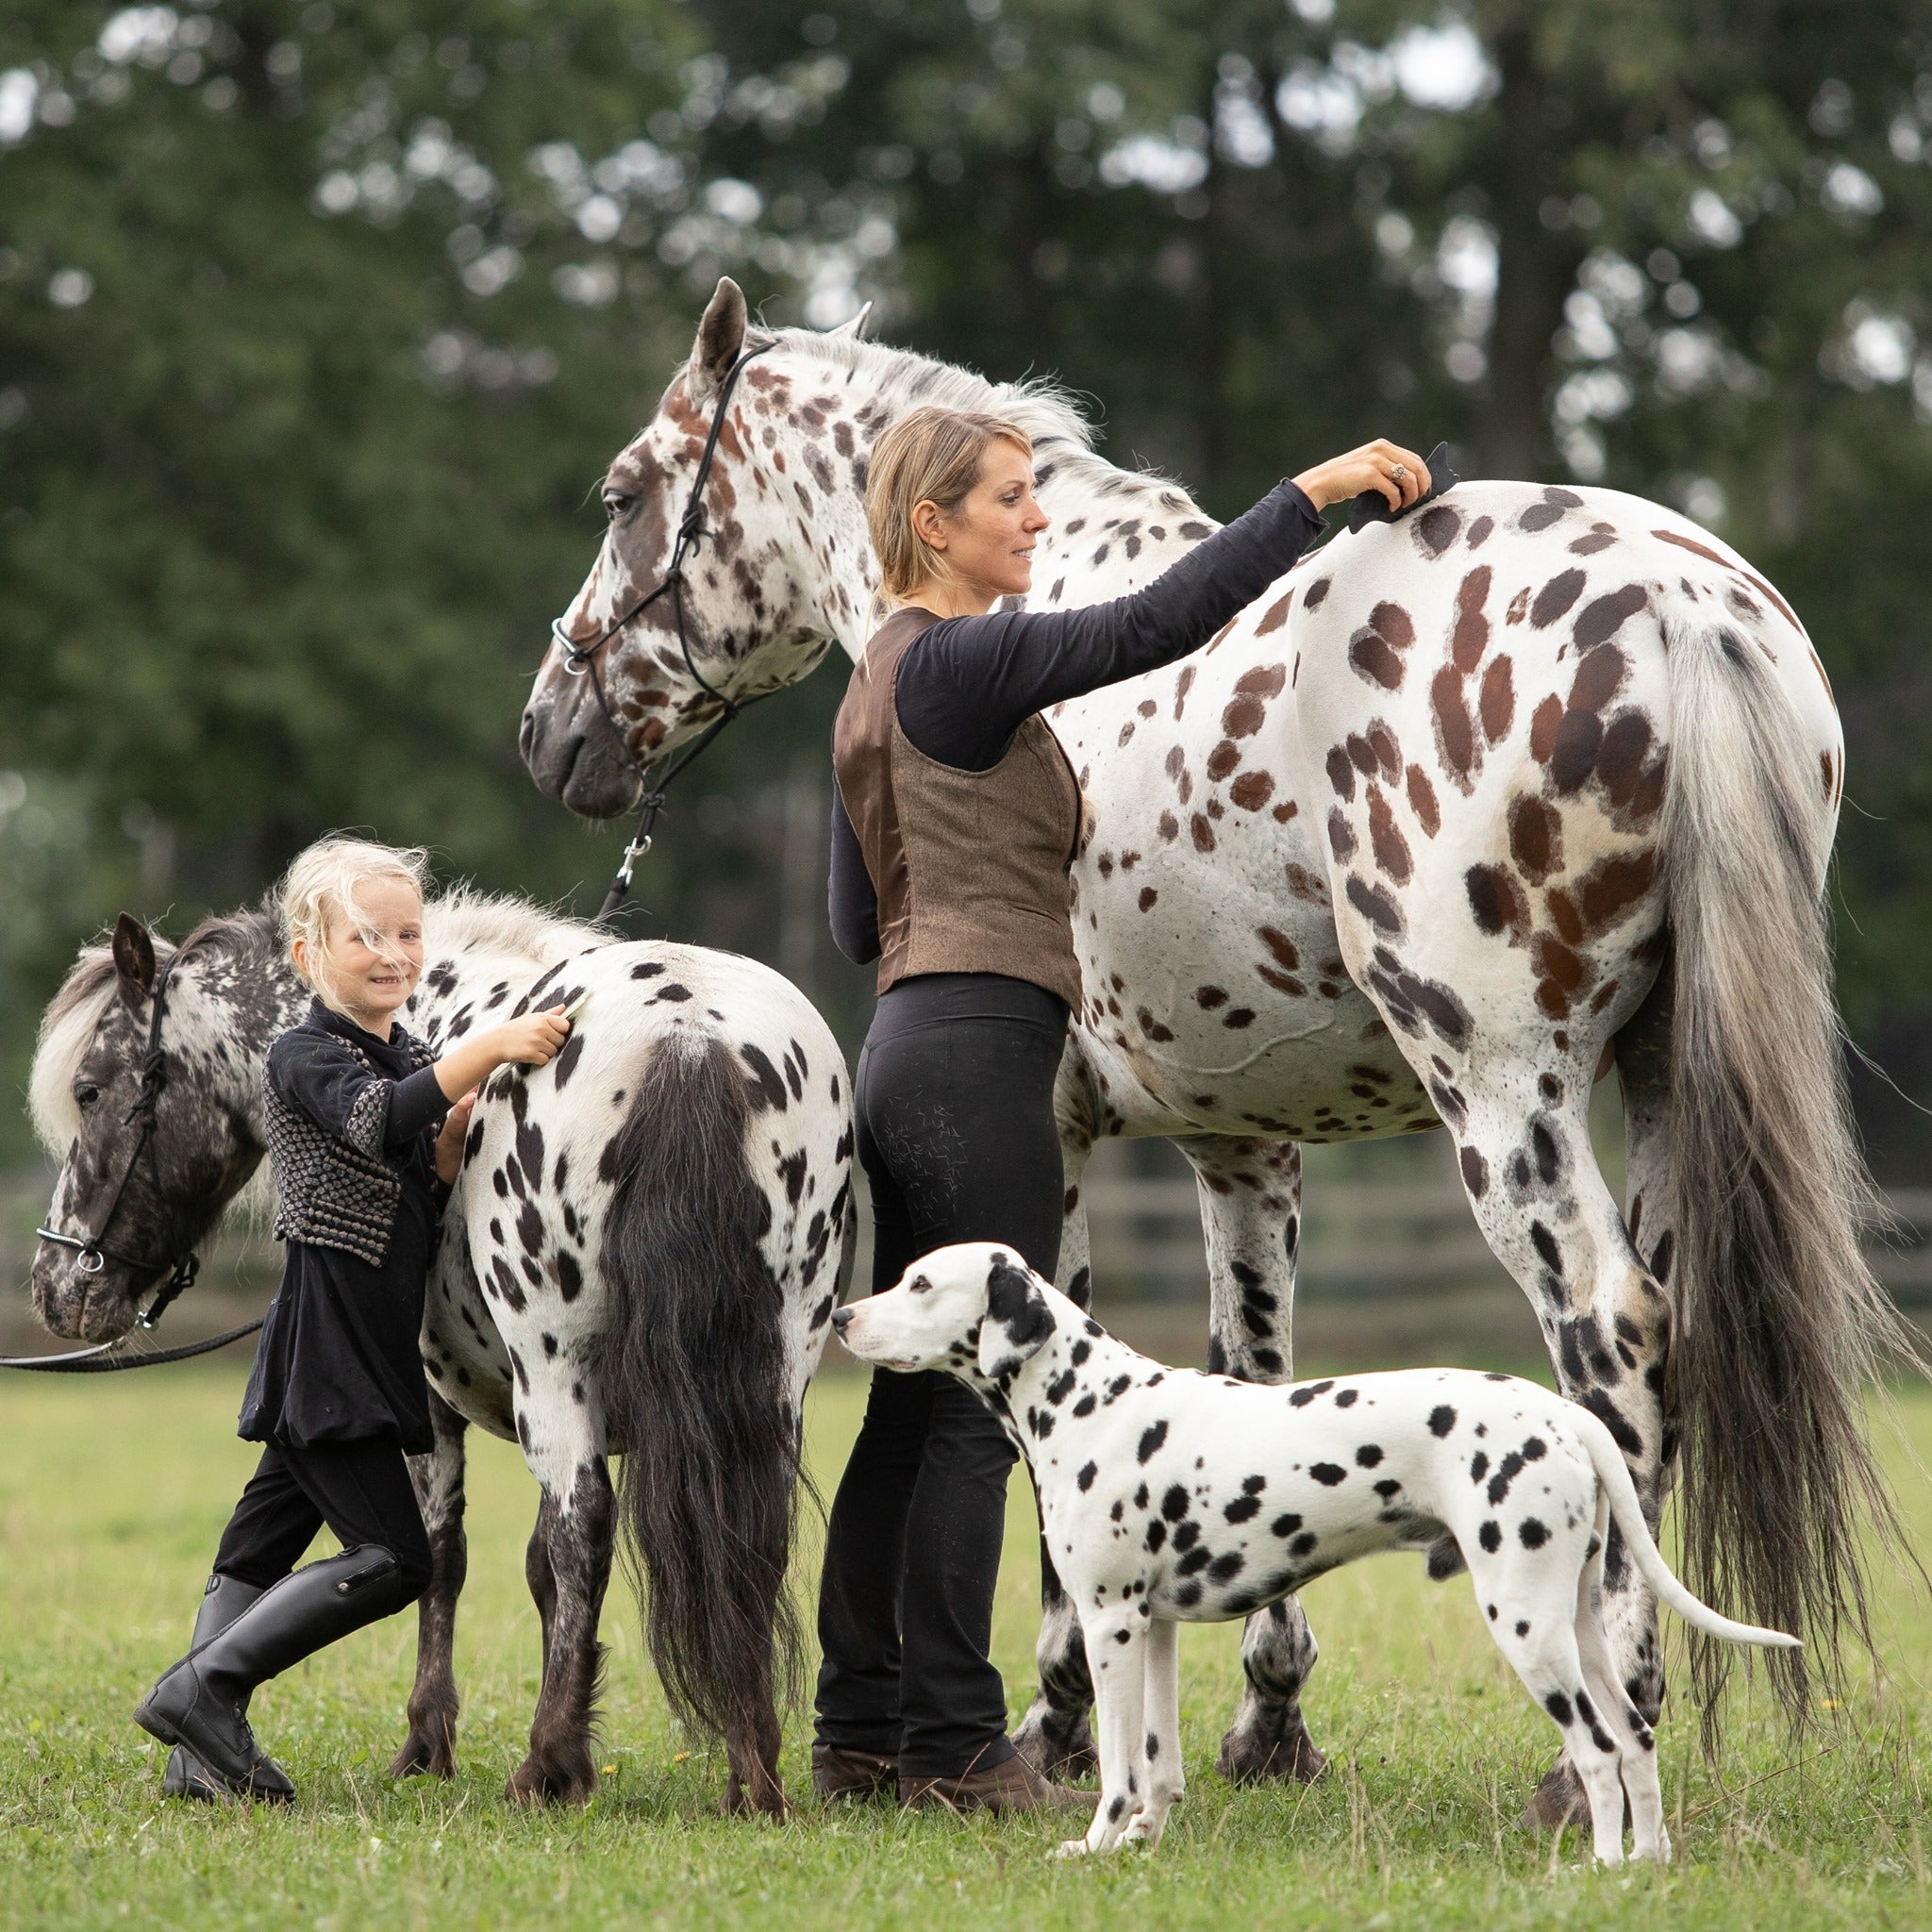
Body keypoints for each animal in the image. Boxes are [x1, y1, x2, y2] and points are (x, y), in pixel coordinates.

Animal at [26, 889, 858, 1807]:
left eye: (90, 1089)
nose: (56, 1288)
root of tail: (686, 1030)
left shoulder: (426, 1407)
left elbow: (447, 1557)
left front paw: (430, 1744)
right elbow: (532, 1571)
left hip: (555, 1373)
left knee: (586, 1527)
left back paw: (544, 1763)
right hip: (772, 1380)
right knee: (751, 1540)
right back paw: (753, 1773)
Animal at [838, 1243, 1800, 1862]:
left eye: (918, 1282)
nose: (843, 1314)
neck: (1091, 1401)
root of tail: (1566, 1415)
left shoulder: (1108, 1626)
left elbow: (1116, 1766)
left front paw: (1097, 1842)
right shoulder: (1154, 1629)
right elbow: (1159, 1762)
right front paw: (1143, 1842)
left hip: (1527, 1626)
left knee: (1599, 1750)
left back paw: (1600, 1870)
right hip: (1579, 1625)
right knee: (1635, 1739)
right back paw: (1647, 1862)